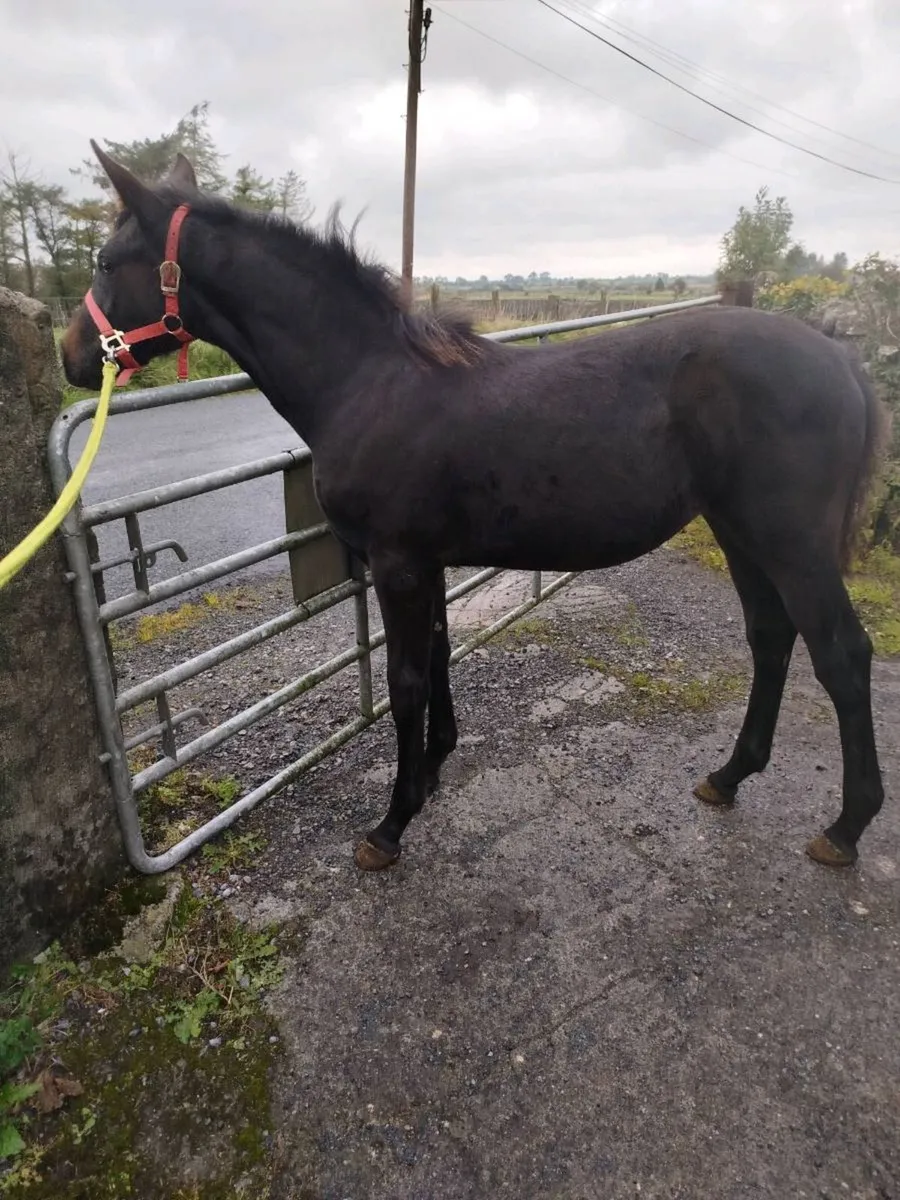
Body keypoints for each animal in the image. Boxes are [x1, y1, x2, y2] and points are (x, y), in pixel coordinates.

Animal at [62, 143, 889, 873]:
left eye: (105, 262)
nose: (73, 357)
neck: (368, 377)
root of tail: (841, 358)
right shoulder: (424, 563)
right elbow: (437, 656)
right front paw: (430, 772)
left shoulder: (397, 563)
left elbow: (405, 683)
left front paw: (390, 827)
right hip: (739, 531)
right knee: (771, 638)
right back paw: (729, 775)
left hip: (791, 541)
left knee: (842, 655)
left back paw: (846, 828)